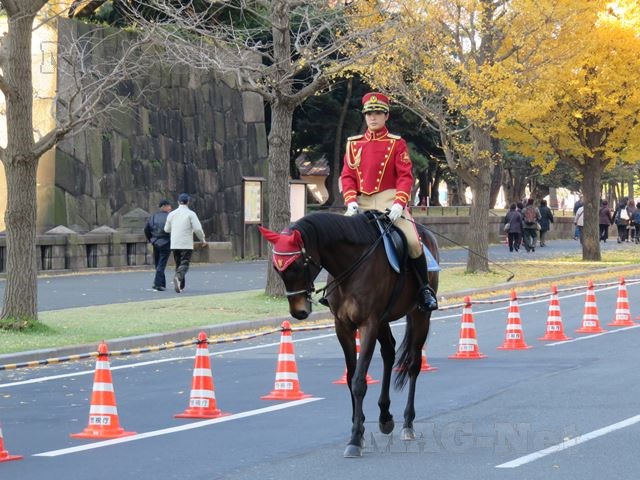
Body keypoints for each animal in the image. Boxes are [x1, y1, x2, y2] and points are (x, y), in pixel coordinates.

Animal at [259, 211, 439, 458]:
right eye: (278, 269)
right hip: (384, 320)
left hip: (419, 315)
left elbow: (359, 381)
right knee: (389, 353)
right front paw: (359, 429)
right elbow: (350, 377)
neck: (352, 263)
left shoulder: (368, 324)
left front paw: (354, 438)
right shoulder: (343, 326)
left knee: (413, 365)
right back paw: (385, 416)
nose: (299, 311)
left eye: (297, 265)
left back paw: (408, 423)